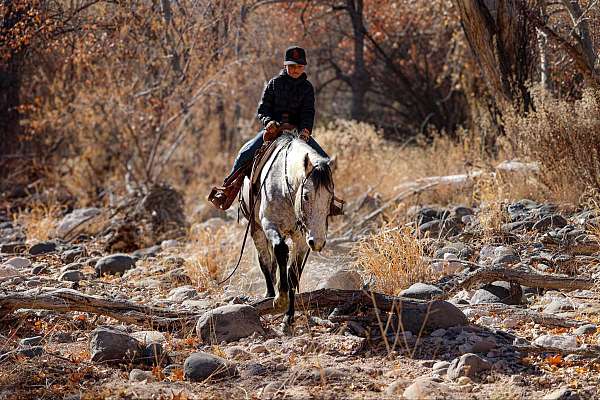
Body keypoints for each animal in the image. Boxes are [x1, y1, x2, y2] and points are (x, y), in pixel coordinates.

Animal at [241, 133, 336, 330]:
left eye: (330, 198)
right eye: (306, 196)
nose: (318, 242)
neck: (284, 187)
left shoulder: (301, 238)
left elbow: (293, 273)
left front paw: (288, 317)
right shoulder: (269, 224)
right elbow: (280, 251)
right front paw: (280, 300)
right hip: (257, 230)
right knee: (265, 261)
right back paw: (270, 294)